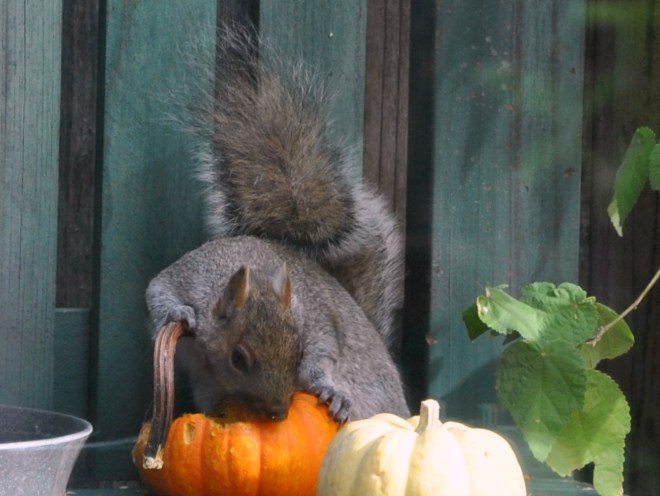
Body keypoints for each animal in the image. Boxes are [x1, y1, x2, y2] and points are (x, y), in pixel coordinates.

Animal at [146, 26, 409, 423]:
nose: (278, 412)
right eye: (239, 359)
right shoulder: (186, 275)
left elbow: (325, 349)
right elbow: (156, 291)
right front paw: (178, 312)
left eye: (297, 352)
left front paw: (327, 388)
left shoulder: (314, 318)